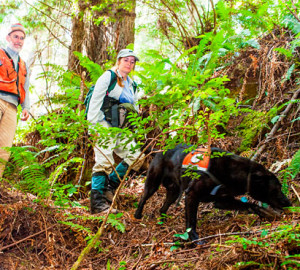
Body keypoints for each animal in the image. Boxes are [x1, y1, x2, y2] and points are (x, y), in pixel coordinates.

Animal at [135, 144, 292, 244]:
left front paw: (266, 213)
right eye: (276, 188)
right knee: (143, 197)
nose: (289, 202)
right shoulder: (192, 195)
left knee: (163, 208)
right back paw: (137, 215)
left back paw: (162, 220)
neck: (235, 172)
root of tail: (160, 150)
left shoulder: (222, 201)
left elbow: (249, 205)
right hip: (153, 183)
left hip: (173, 191)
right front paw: (194, 239)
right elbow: (191, 221)